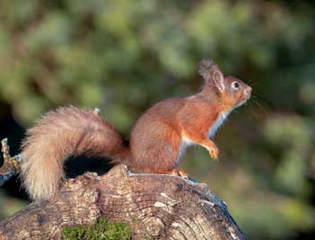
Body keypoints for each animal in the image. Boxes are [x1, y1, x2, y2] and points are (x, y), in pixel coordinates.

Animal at [19, 60, 252, 201]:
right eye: (236, 85)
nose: (251, 90)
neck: (214, 103)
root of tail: (135, 158)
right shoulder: (195, 118)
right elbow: (195, 133)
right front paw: (213, 148)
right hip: (168, 142)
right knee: (153, 169)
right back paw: (173, 171)